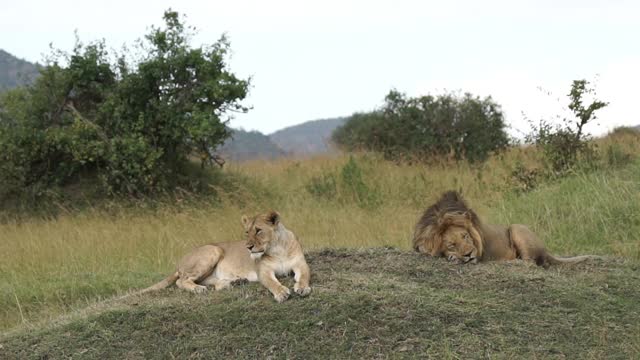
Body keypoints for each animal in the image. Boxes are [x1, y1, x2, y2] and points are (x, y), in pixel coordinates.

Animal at [142, 210, 310, 302]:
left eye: (258, 230)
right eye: (247, 232)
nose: (248, 247)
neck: (276, 248)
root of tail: (180, 263)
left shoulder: (300, 264)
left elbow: (304, 276)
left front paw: (302, 288)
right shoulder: (263, 271)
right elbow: (272, 283)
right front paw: (281, 293)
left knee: (213, 284)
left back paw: (235, 282)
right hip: (213, 251)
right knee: (181, 281)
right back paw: (198, 289)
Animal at [412, 191, 604, 268]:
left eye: (466, 237)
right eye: (451, 244)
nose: (469, 254)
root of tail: (546, 249)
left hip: (516, 228)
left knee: (530, 263)